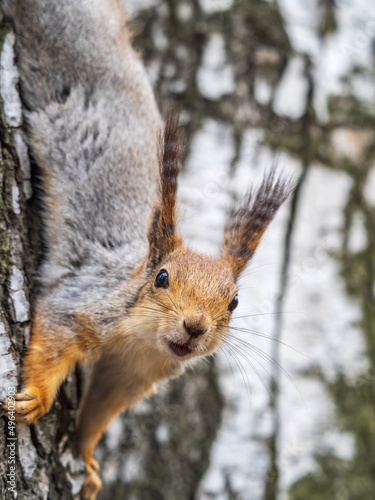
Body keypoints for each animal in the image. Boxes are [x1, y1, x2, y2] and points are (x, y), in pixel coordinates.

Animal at [1, 0, 296, 500]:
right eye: (161, 278)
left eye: (234, 302)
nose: (195, 327)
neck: (140, 342)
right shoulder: (83, 300)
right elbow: (54, 339)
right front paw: (35, 398)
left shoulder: (130, 375)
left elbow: (100, 411)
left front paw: (87, 459)